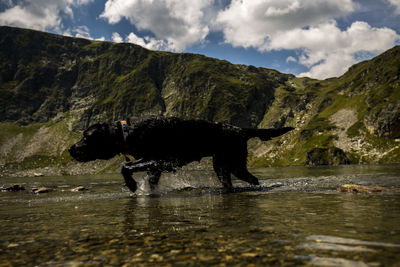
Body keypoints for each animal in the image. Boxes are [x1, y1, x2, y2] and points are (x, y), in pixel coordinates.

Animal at [69, 116, 292, 193]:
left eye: (86, 137)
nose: (71, 149)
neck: (128, 132)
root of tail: (240, 129)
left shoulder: (160, 160)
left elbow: (125, 166)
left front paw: (132, 185)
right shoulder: (155, 166)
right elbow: (150, 181)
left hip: (234, 163)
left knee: (254, 180)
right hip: (222, 166)